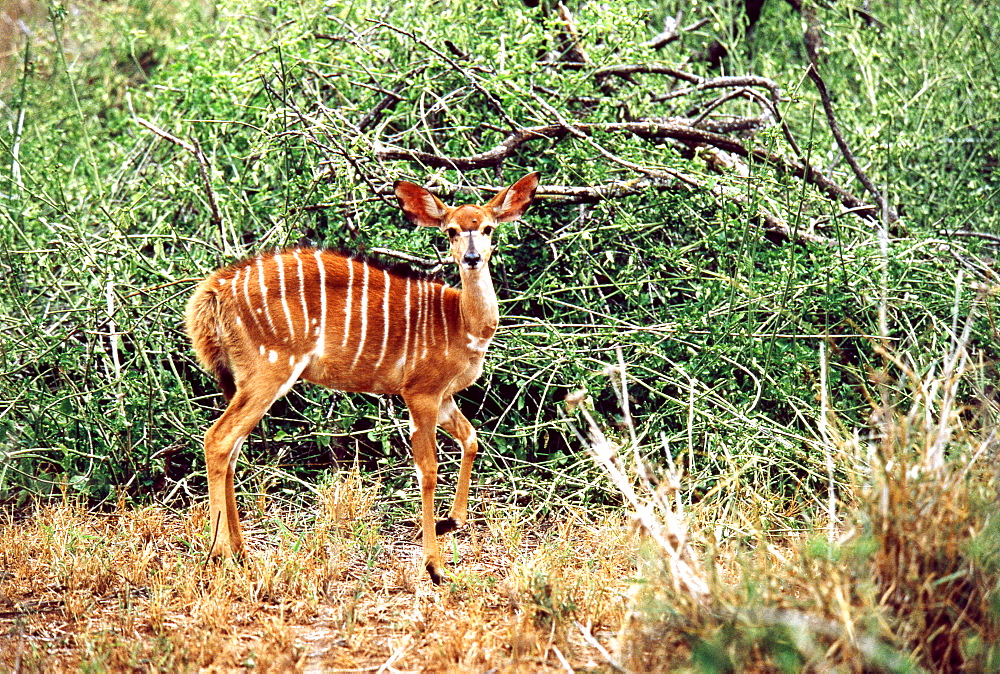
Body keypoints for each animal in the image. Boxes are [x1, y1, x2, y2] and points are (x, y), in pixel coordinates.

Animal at [186, 171, 540, 580]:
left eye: (486, 227)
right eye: (451, 230)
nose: (471, 258)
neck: (462, 322)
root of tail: (214, 292)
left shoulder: (445, 396)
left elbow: (472, 440)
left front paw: (450, 522)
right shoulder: (419, 392)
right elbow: (428, 469)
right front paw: (435, 566)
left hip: (246, 380)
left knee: (232, 446)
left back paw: (242, 552)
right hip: (268, 372)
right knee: (218, 439)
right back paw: (220, 554)